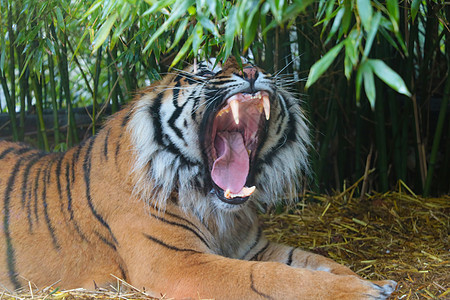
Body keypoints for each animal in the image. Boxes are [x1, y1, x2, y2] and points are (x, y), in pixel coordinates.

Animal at [0, 57, 396, 298]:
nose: (252, 72)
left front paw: (373, 281)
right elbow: (271, 277)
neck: (219, 211)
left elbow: (317, 262)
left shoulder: (255, 248)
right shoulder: (179, 263)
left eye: (253, 59)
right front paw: (362, 291)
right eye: (205, 71)